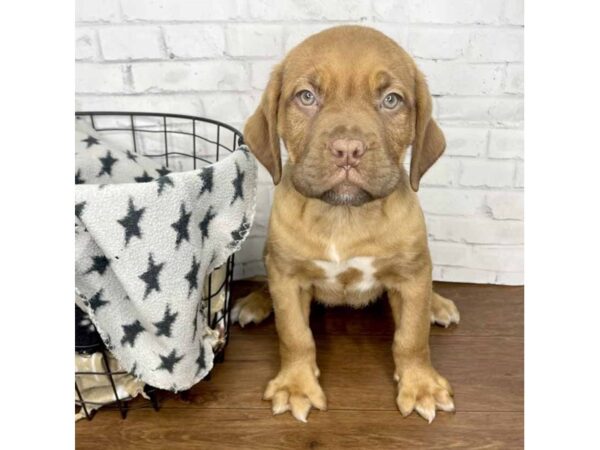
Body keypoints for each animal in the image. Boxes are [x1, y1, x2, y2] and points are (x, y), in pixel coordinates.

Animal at [232, 24, 462, 424]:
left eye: (391, 100)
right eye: (306, 96)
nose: (348, 150)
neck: (344, 215)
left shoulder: (411, 274)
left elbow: (412, 337)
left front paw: (421, 386)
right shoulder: (288, 277)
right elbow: (294, 334)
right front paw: (296, 386)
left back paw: (437, 304)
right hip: (270, 254)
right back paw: (257, 302)